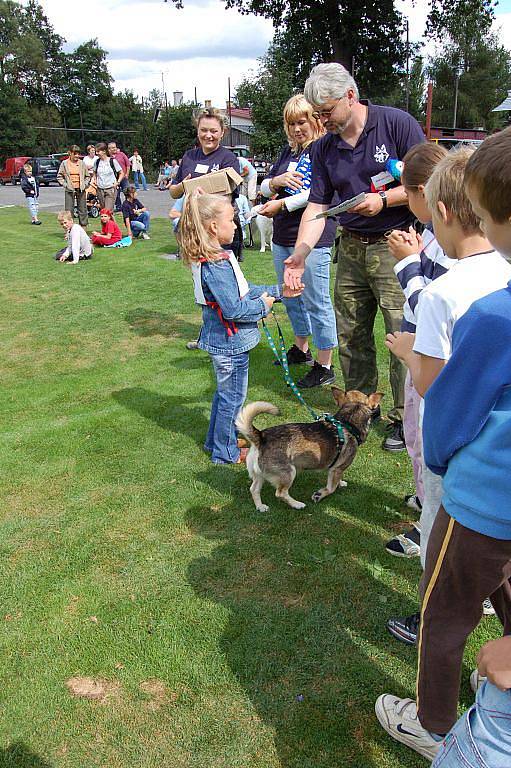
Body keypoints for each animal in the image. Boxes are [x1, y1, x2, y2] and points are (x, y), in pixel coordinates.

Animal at [237, 390, 384, 510]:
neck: (347, 424)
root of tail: (261, 437)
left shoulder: (335, 469)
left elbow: (337, 480)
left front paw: (341, 483)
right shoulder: (338, 468)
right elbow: (331, 488)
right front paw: (319, 494)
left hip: (259, 475)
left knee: (254, 489)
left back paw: (260, 507)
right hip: (289, 473)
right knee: (280, 493)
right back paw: (297, 504)